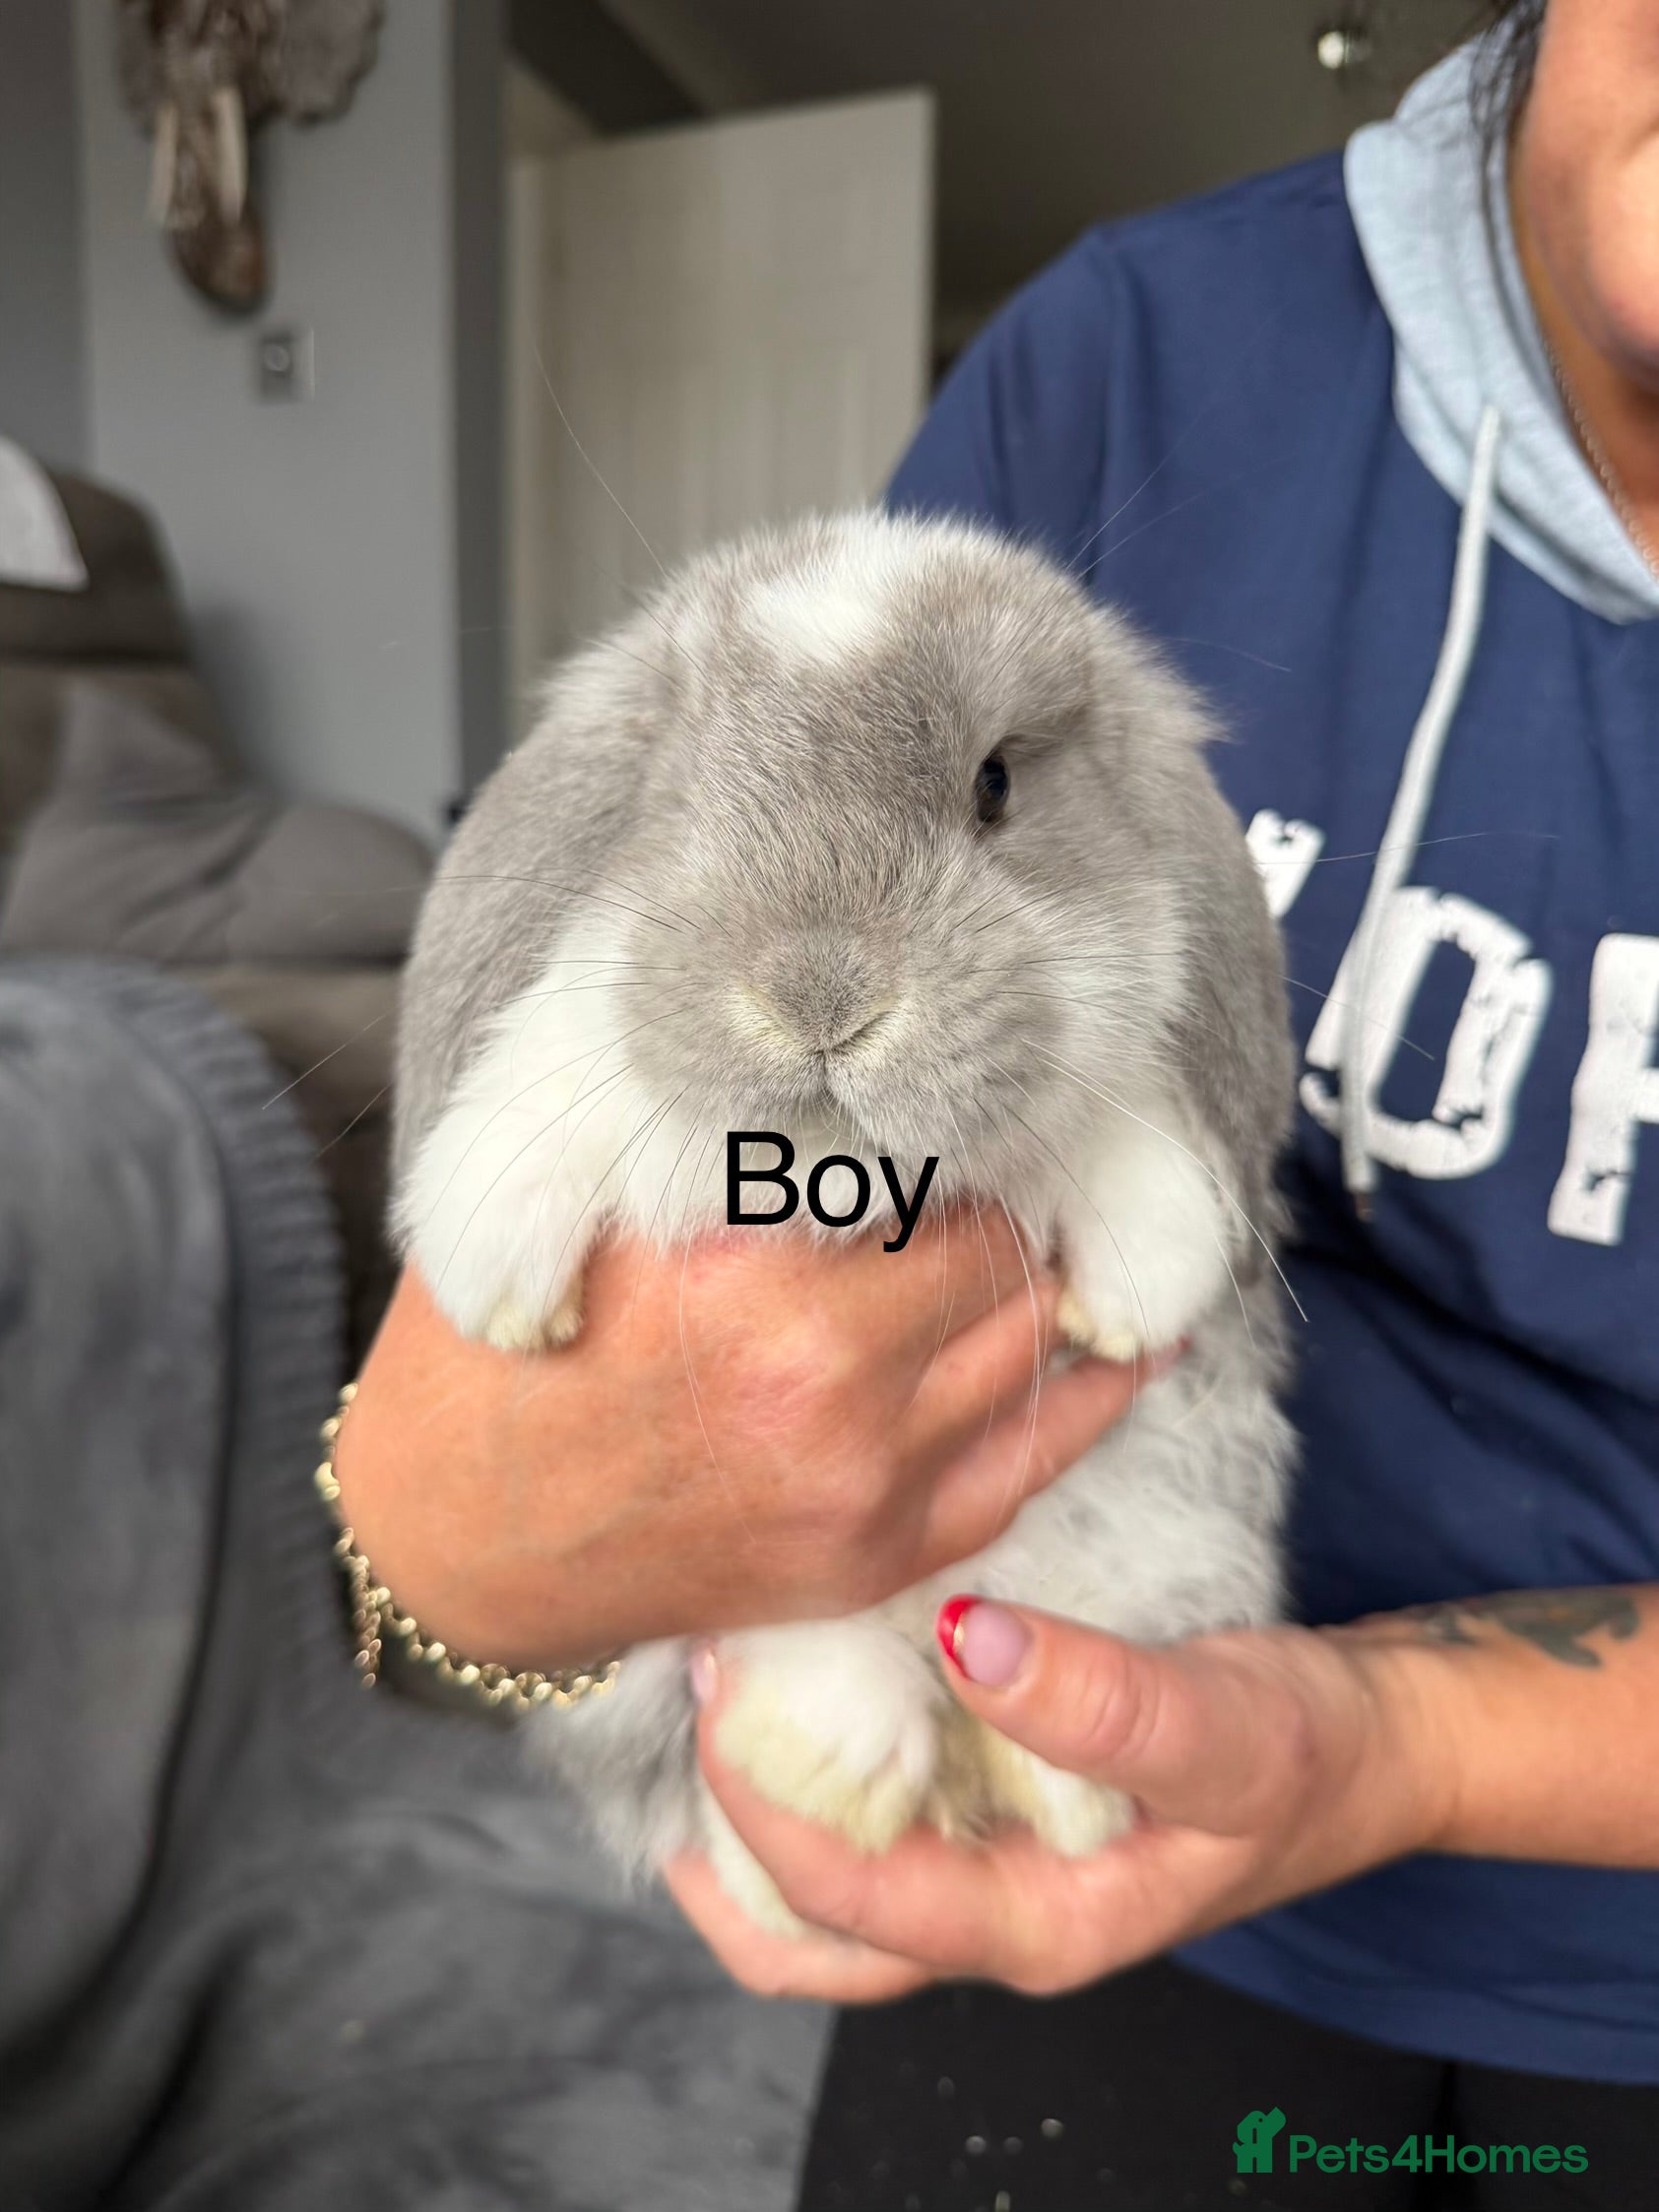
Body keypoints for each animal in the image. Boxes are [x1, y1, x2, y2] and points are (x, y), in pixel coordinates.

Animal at [391, 509, 1298, 1936]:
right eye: (675, 800)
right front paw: (500, 1289)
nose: (817, 997)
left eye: (995, 784)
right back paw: (838, 1760)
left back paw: (1044, 1779)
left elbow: (1122, 1126)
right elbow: (538, 1092)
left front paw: (1135, 1290)